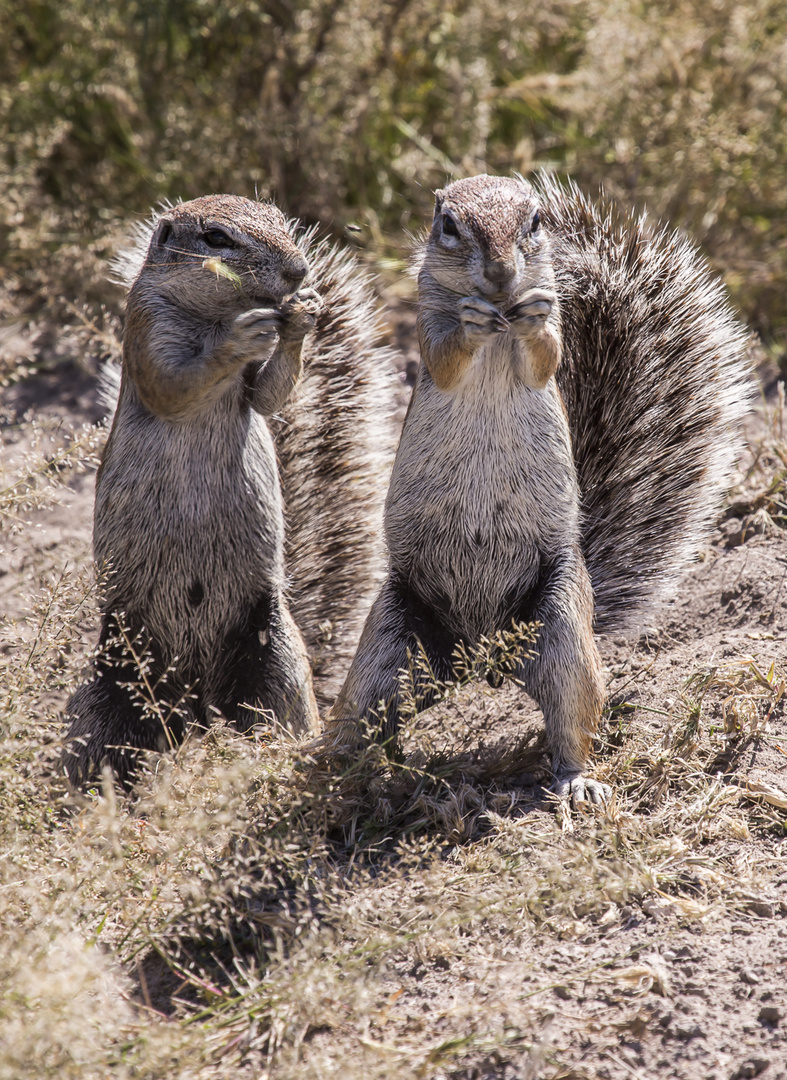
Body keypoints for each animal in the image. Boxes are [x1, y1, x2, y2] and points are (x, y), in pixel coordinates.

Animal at [62, 194, 392, 786]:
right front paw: (240, 336)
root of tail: (195, 706)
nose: (298, 272)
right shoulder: (146, 329)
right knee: (104, 751)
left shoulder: (254, 383)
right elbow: (174, 383)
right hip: (112, 687)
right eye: (216, 238)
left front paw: (302, 316)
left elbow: (269, 398)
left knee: (276, 719)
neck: (211, 315)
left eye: (282, 220)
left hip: (275, 668)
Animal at [323, 172, 747, 807]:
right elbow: (446, 357)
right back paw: (325, 768)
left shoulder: (547, 342)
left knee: (572, 719)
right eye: (448, 225)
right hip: (390, 642)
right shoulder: (427, 321)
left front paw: (535, 318)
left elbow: (547, 354)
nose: (502, 274)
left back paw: (576, 783)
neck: (502, 314)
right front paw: (472, 322)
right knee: (363, 716)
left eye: (537, 221)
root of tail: (480, 657)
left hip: (562, 627)